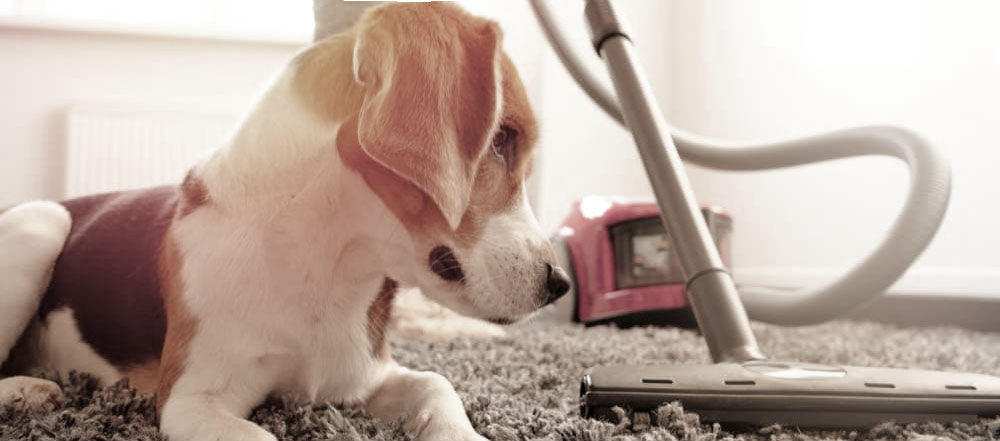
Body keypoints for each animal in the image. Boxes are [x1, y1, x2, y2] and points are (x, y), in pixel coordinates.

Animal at [0, 4, 568, 440]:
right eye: (502, 138)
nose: (559, 283)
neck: (320, 257)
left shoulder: (361, 376)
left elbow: (438, 383)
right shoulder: (189, 398)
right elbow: (258, 433)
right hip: (40, 223)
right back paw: (29, 391)